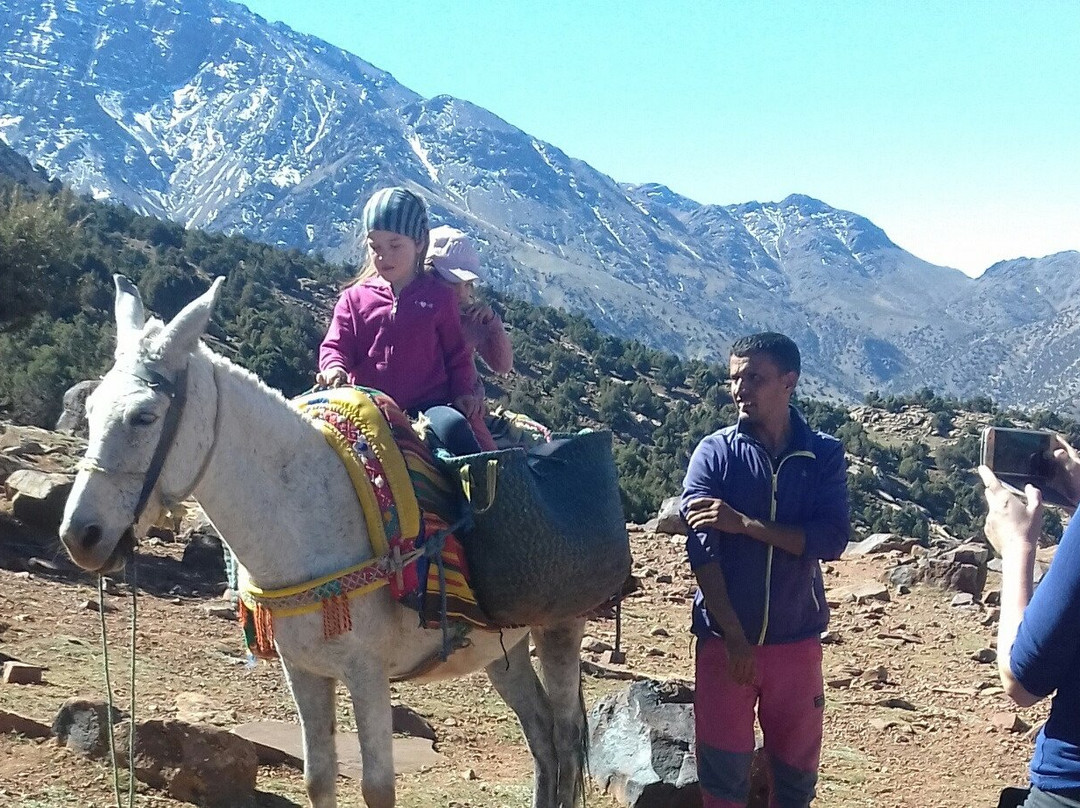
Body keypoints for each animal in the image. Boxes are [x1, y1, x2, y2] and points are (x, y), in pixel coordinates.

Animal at [59, 276, 589, 808]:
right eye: (89, 408)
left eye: (144, 416)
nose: (80, 536)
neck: (305, 519)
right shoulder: (304, 670)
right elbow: (318, 777)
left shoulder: (367, 674)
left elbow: (377, 788)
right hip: (501, 649)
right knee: (541, 736)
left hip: (560, 628)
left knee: (565, 739)